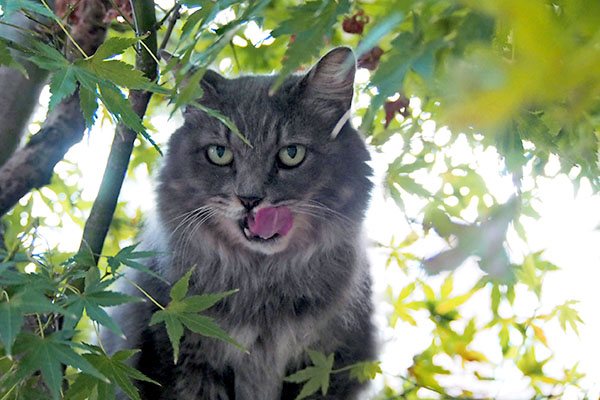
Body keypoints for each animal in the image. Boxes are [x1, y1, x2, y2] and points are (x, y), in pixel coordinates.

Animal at [108, 47, 376, 400]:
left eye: (292, 153)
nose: (250, 199)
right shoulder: (178, 363)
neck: (259, 285)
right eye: (219, 153)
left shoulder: (329, 366)